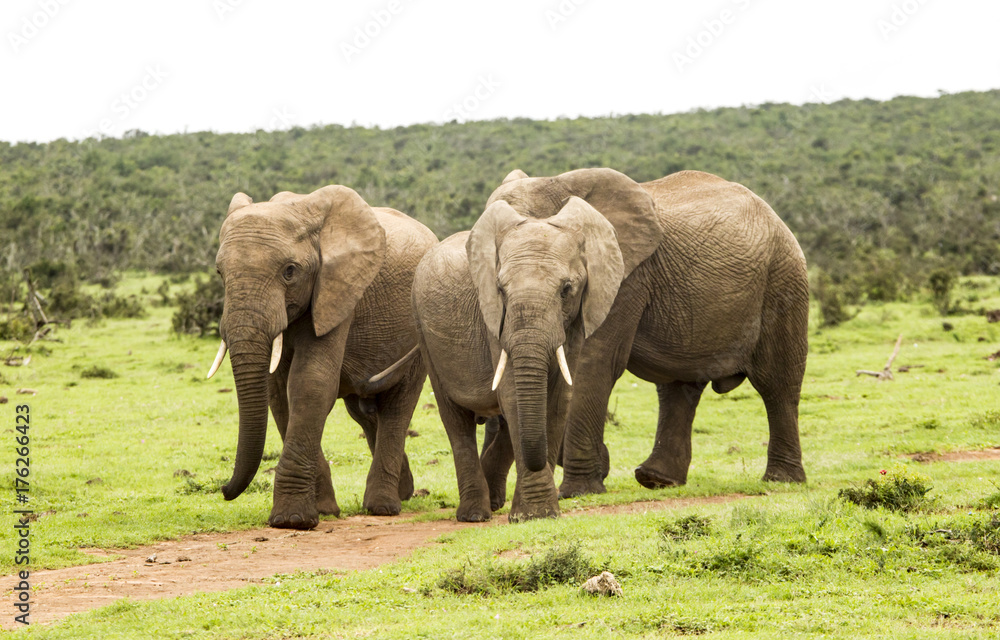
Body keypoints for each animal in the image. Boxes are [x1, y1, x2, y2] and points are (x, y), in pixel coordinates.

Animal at [208, 185, 437, 529]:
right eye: (220, 272)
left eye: (290, 272)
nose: (223, 489)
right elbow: (280, 393)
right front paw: (325, 510)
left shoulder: (338, 291)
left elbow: (310, 384)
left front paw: (292, 520)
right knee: (365, 411)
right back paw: (405, 491)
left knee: (398, 406)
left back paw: (383, 506)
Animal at [411, 187, 626, 522]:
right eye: (500, 289)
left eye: (567, 289)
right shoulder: (493, 319)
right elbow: (512, 394)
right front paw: (534, 514)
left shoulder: (575, 321)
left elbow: (559, 398)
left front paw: (541, 514)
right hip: (424, 332)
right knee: (456, 421)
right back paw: (475, 514)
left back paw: (492, 501)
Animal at [477, 168, 809, 500]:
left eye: (566, 288)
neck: (554, 182)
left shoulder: (623, 277)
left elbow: (590, 362)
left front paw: (577, 492)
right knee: (678, 387)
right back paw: (656, 479)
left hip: (783, 279)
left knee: (776, 382)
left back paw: (781, 480)